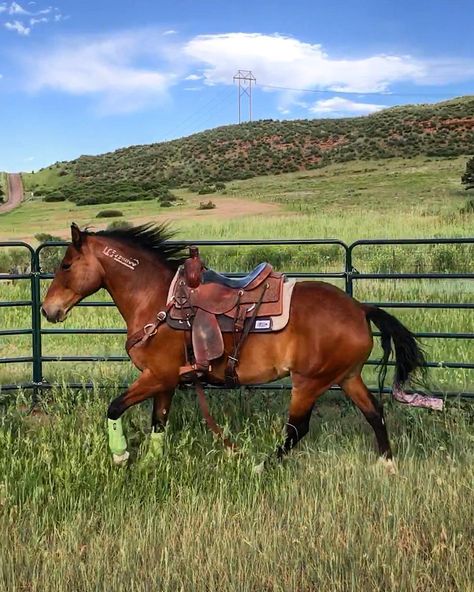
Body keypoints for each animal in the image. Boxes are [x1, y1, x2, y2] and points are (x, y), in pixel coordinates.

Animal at [40, 224, 426, 470]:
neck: (157, 300)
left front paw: (121, 455)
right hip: (346, 376)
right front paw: (151, 463)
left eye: (66, 265)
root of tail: (360, 308)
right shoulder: (165, 381)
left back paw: (260, 465)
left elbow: (115, 406)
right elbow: (158, 423)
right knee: (375, 413)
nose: (48, 310)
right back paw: (386, 465)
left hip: (309, 382)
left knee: (297, 430)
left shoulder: (157, 376)